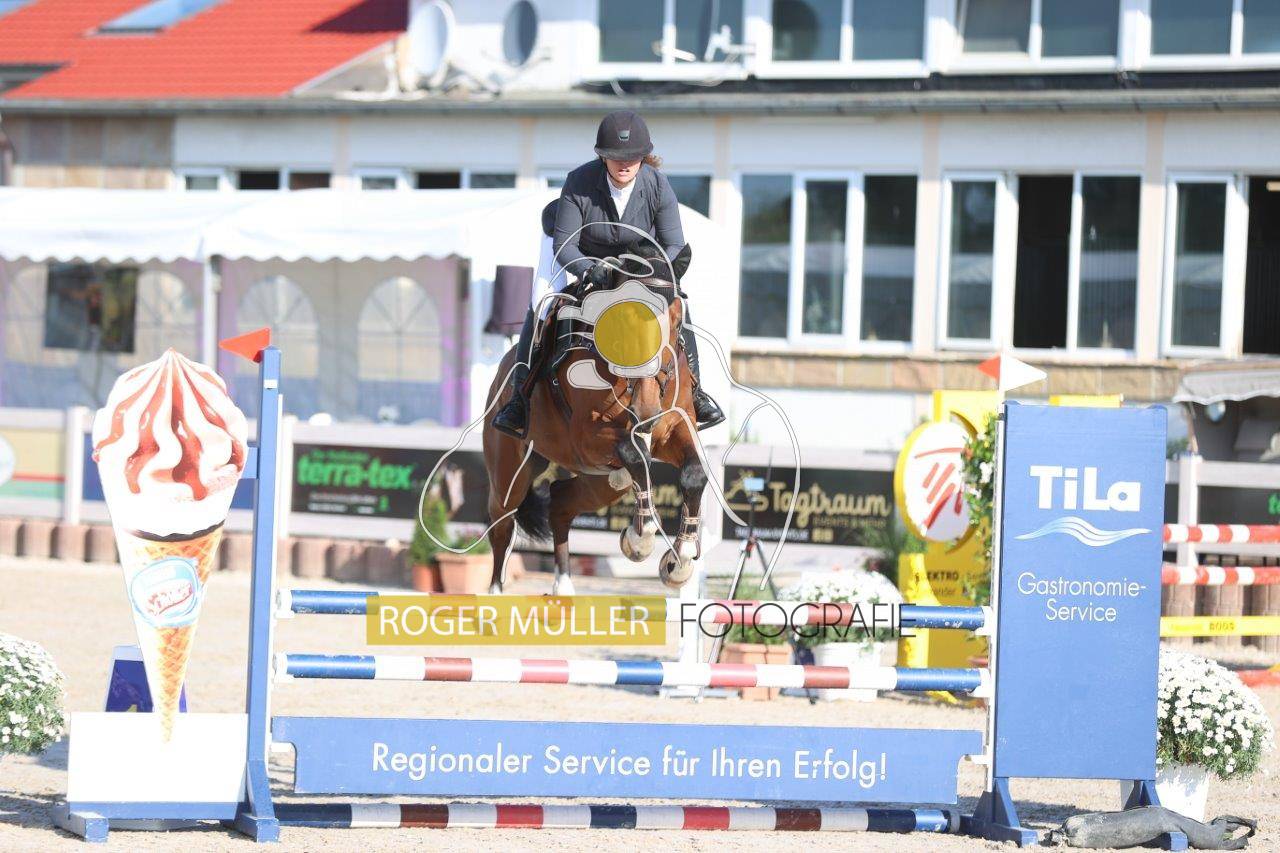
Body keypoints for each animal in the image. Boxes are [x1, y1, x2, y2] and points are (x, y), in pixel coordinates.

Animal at [481, 243, 707, 595]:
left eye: (677, 318)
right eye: (625, 317)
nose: (647, 410)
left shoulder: (673, 429)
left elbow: (694, 473)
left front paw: (679, 561)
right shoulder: (586, 438)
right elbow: (635, 454)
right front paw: (640, 541)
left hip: (597, 483)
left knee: (560, 502)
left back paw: (563, 585)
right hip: (510, 472)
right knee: (503, 524)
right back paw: (495, 597)